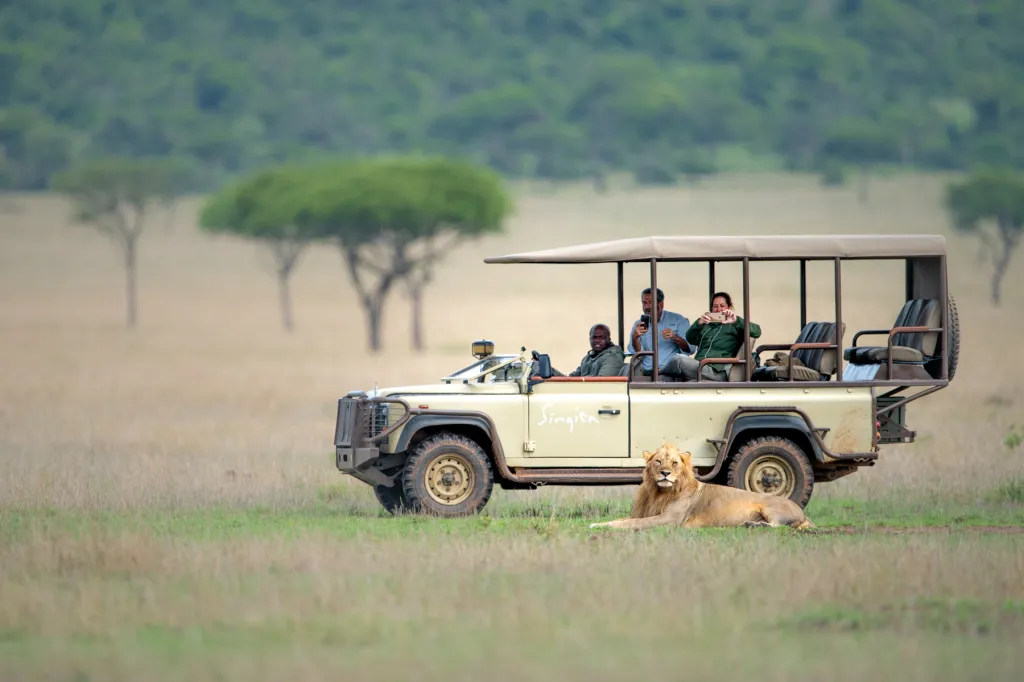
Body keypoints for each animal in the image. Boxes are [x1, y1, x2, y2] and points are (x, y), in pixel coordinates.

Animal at [589, 442, 815, 531]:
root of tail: (804, 514)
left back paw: (751, 525)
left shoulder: (669, 520)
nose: (665, 473)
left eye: (674, 463)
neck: (659, 492)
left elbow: (633, 524)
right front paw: (597, 524)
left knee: (778, 526)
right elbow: (621, 520)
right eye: (658, 461)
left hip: (770, 508)